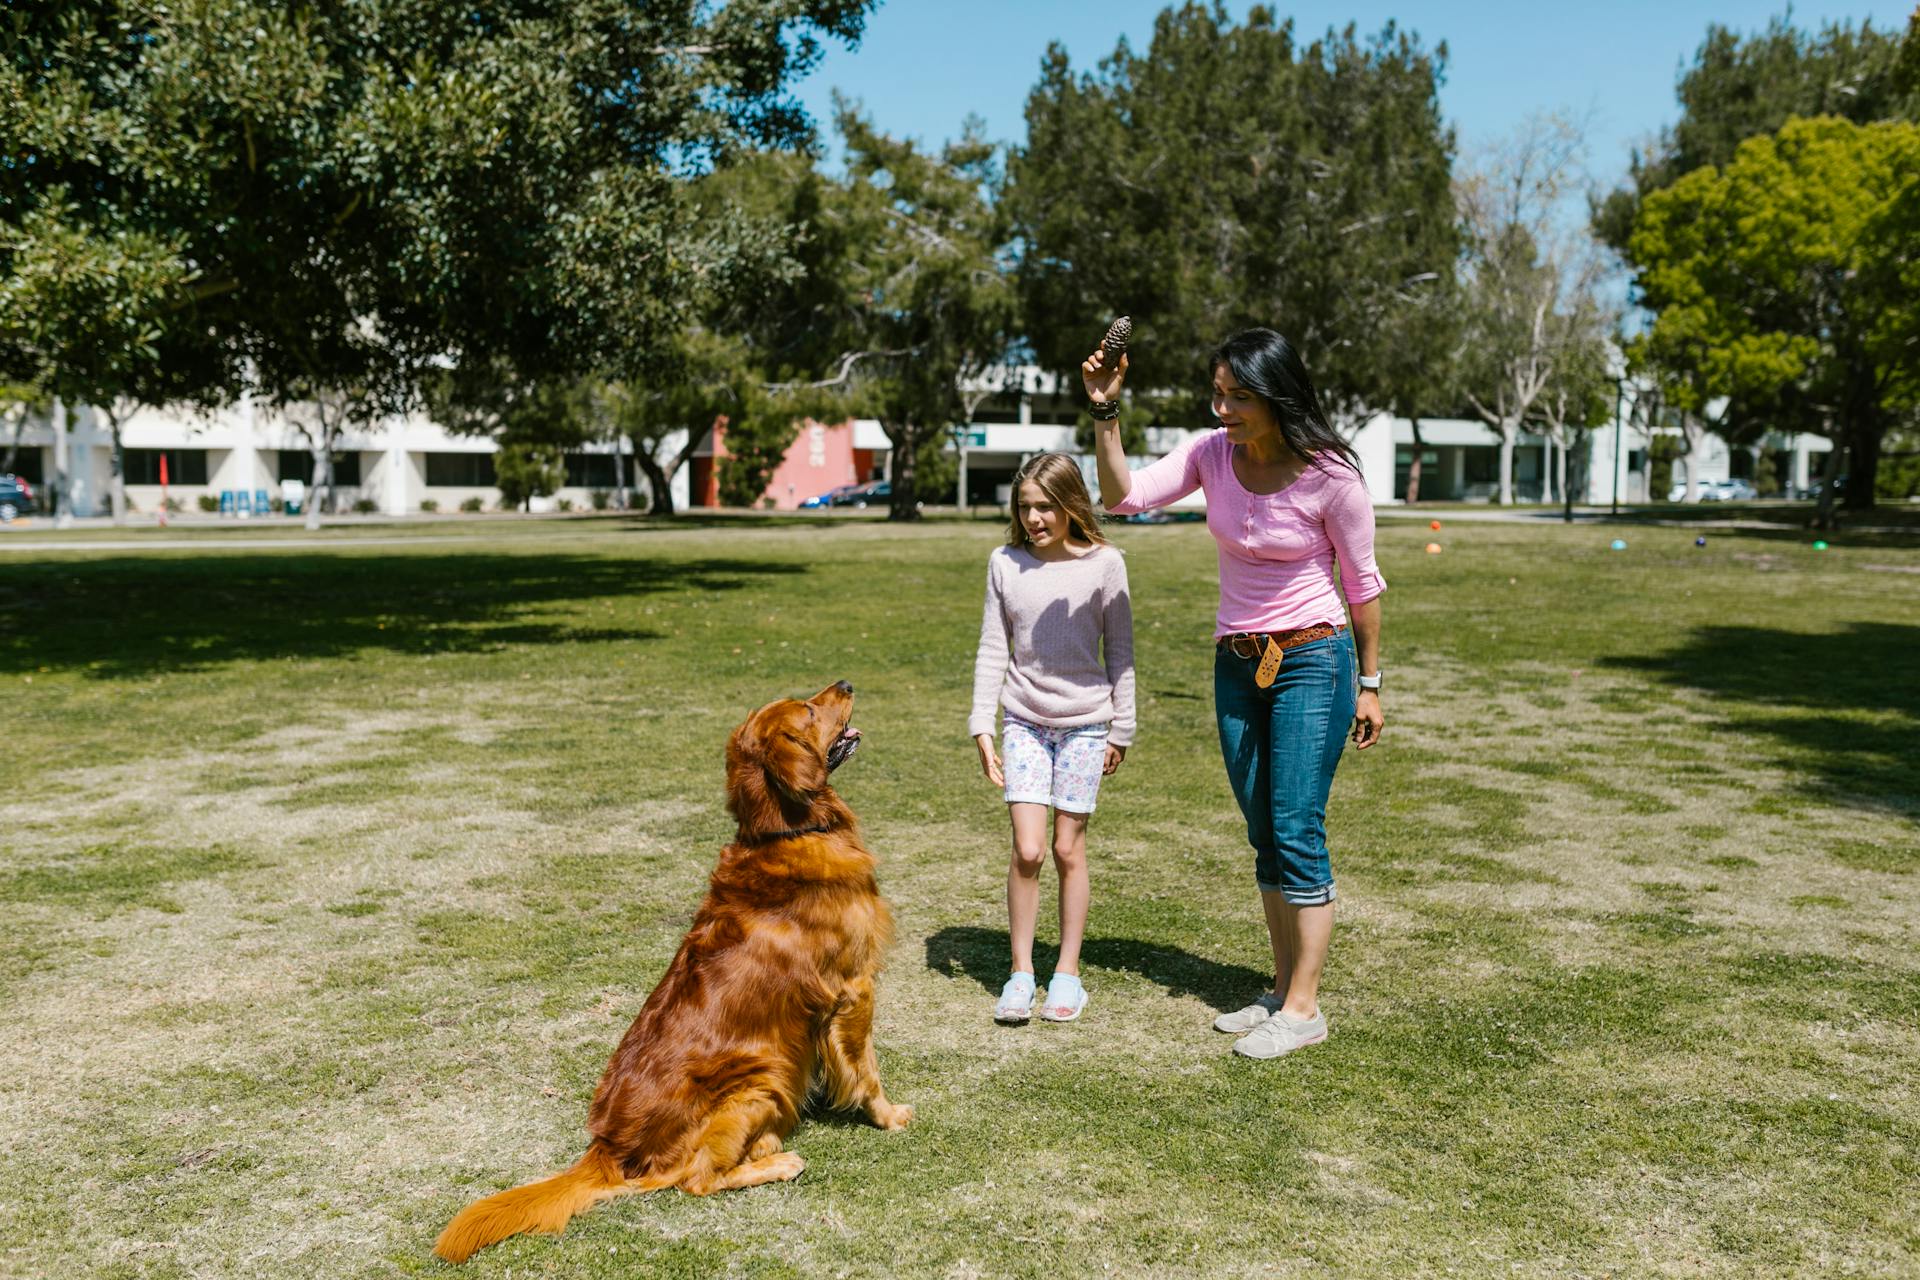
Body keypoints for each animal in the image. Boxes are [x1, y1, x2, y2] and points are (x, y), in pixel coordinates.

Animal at [437, 679, 913, 1258]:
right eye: (806, 708)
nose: (845, 683)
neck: (786, 832)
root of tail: (607, 1147)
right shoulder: (855, 987)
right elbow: (866, 1068)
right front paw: (888, 1116)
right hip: (759, 1079)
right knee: (698, 1179)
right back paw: (780, 1162)